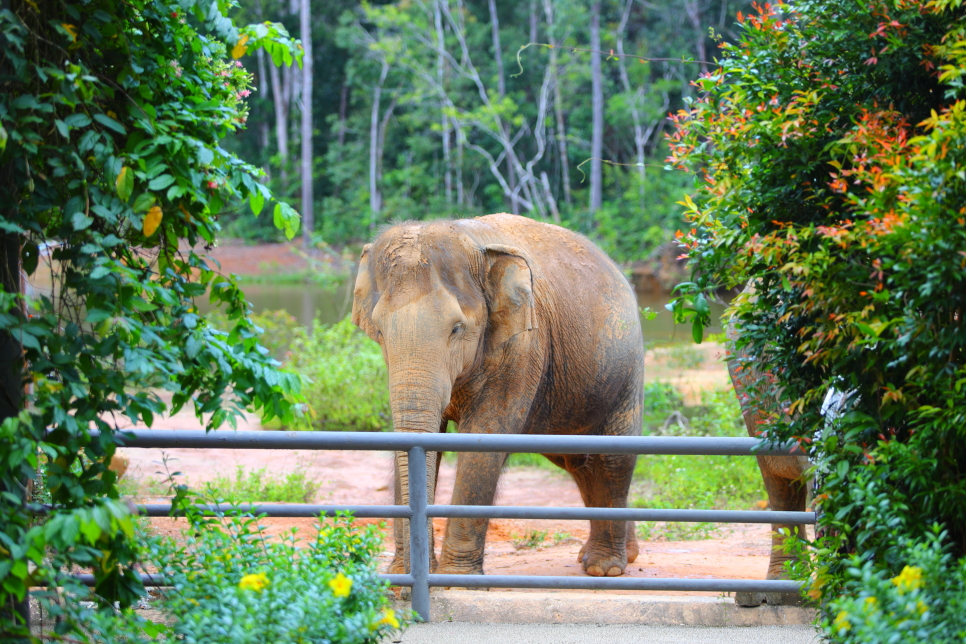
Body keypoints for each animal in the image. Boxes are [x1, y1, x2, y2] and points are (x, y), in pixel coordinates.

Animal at [352, 213, 648, 580]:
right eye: (378, 330)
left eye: (456, 329)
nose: (409, 574)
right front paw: (399, 578)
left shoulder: (522, 346)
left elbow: (485, 438)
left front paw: (456, 581)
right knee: (579, 464)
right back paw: (618, 554)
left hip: (627, 369)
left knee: (612, 459)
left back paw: (603, 568)